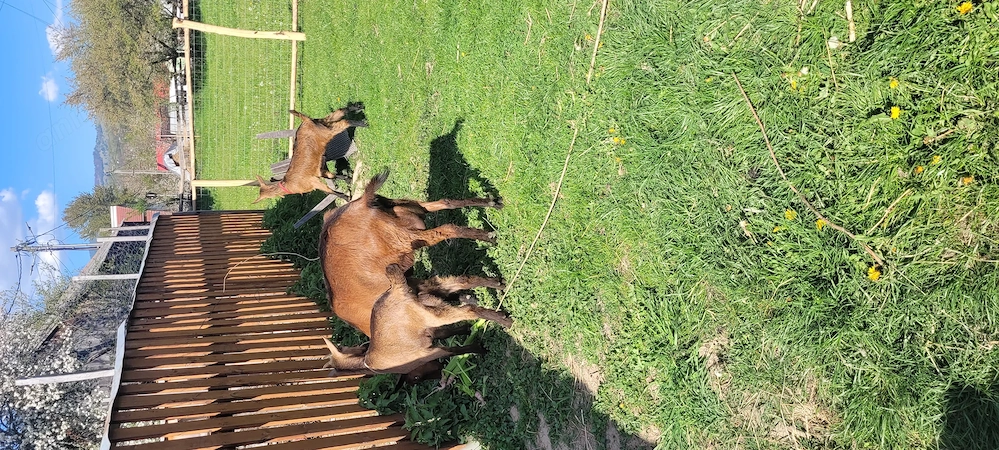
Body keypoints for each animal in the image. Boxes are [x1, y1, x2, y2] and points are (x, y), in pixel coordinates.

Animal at [323, 264, 512, 376]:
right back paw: (499, 284)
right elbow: (447, 333)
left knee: (468, 310)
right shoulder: (430, 334)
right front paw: (466, 330)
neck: (366, 362)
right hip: (428, 292)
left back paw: (505, 320)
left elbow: (453, 351)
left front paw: (478, 348)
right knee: (461, 281)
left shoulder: (428, 353)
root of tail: (396, 289)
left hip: (429, 314)